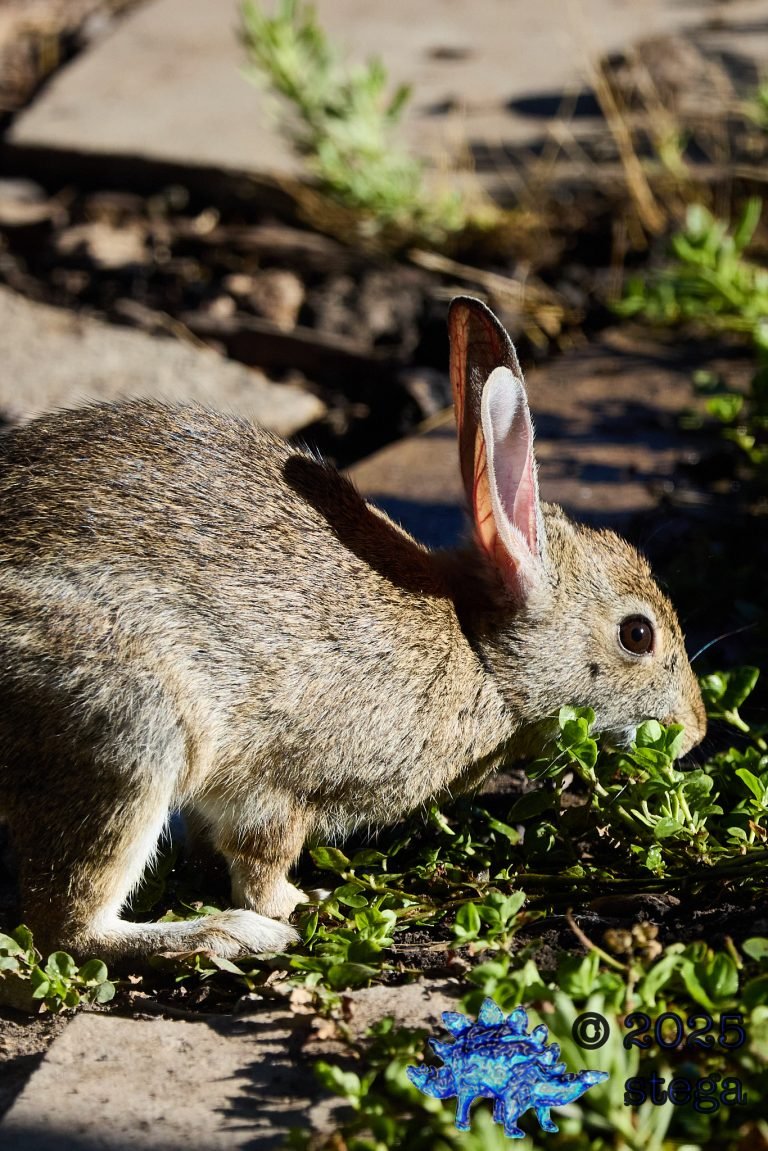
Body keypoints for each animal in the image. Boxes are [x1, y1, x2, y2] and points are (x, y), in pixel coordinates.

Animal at [0, 296, 706, 962]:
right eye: (637, 635)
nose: (695, 730)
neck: (478, 649)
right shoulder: (281, 784)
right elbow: (262, 856)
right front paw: (301, 903)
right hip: (129, 726)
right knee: (67, 927)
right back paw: (229, 936)